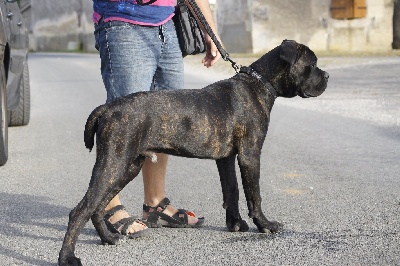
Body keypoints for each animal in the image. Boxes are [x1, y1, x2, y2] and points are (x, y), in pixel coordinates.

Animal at [58, 40, 328, 266]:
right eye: (312, 64)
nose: (327, 75)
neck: (260, 83)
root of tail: (107, 108)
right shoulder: (250, 155)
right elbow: (254, 195)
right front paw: (264, 224)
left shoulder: (226, 159)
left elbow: (231, 191)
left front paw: (235, 224)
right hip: (114, 163)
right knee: (81, 210)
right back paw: (67, 257)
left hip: (127, 166)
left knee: (97, 207)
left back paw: (108, 239)